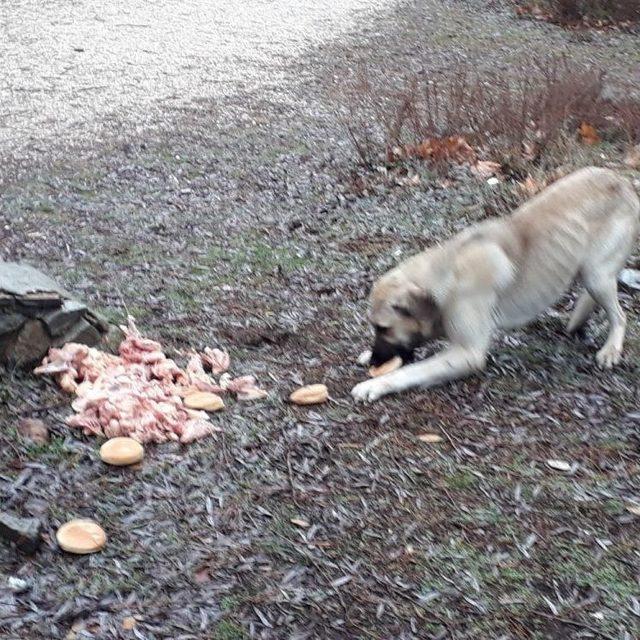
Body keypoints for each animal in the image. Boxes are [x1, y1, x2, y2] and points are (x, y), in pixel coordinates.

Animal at [352, 168, 636, 402]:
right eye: (374, 328)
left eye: (383, 327)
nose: (376, 359)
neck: (447, 274)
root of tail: (623, 181)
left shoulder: (468, 354)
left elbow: (411, 371)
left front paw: (376, 384)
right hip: (585, 268)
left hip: (596, 275)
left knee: (619, 315)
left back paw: (611, 349)